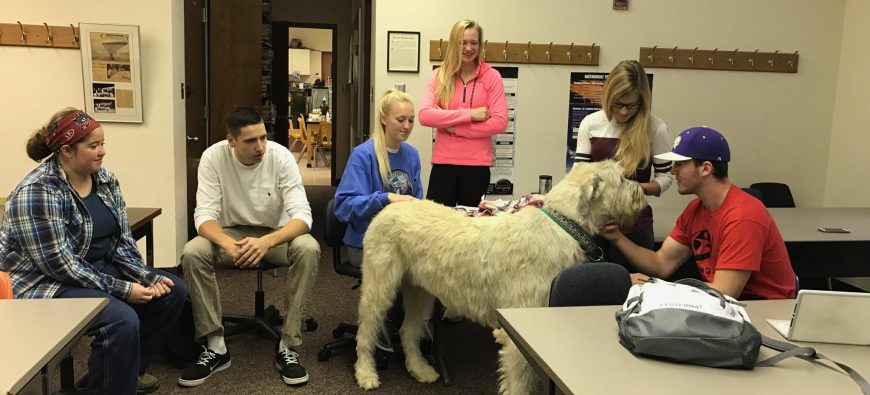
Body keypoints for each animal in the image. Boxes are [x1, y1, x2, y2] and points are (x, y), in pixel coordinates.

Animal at [354, 160, 648, 392]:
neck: (563, 223)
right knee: (366, 328)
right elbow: (519, 382)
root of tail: (390, 206)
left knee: (408, 329)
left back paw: (419, 369)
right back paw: (366, 372)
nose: (643, 194)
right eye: (623, 178)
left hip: (419, 289)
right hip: (380, 283)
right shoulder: (519, 335)